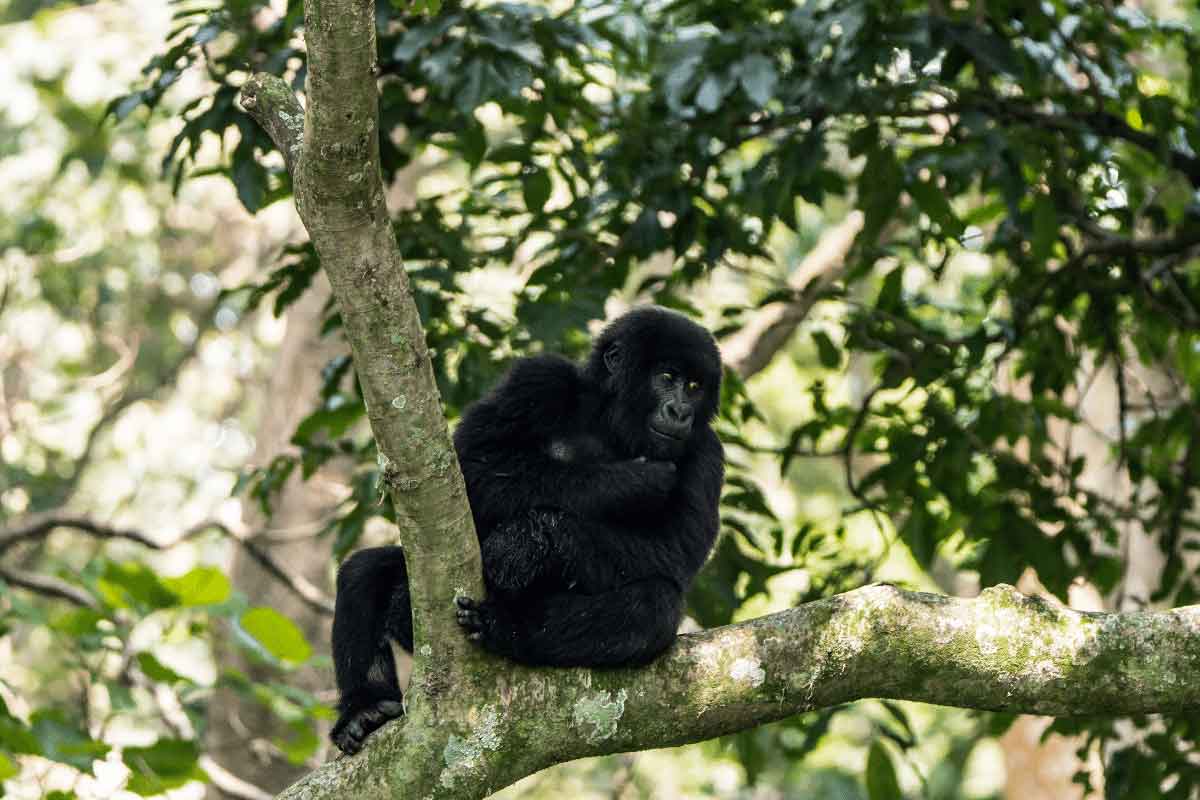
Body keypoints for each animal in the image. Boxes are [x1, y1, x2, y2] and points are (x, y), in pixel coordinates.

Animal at [328, 303, 720, 753]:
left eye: (695, 386)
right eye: (667, 378)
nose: (681, 412)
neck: (612, 424)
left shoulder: (707, 452)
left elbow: (676, 550)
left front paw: (531, 544)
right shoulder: (538, 380)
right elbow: (471, 466)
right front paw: (628, 482)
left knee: (653, 607)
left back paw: (505, 626)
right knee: (363, 573)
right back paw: (365, 709)